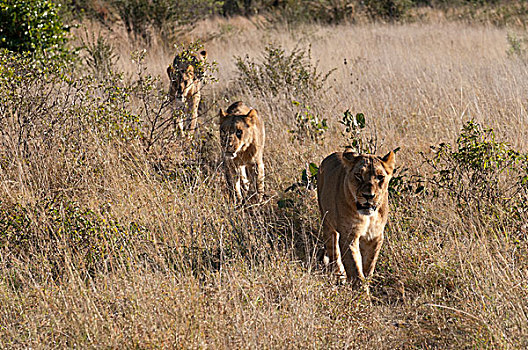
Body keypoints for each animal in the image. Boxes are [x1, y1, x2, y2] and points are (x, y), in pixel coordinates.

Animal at [316, 150, 394, 290]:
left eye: (380, 177)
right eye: (358, 175)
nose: (369, 196)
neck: (369, 217)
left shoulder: (375, 236)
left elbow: (369, 264)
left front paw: (366, 281)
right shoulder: (349, 235)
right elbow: (354, 266)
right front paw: (361, 292)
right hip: (327, 222)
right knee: (333, 249)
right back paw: (339, 275)